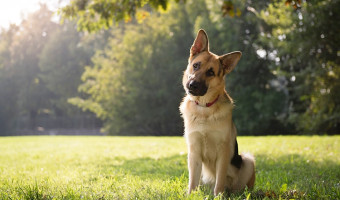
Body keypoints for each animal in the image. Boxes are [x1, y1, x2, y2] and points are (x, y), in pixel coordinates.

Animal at [181, 29, 255, 195]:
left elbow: (219, 180)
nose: (192, 85)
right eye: (196, 65)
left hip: (247, 160)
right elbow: (192, 181)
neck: (204, 108)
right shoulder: (194, 153)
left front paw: (218, 196)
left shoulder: (223, 152)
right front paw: (190, 195)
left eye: (211, 72)